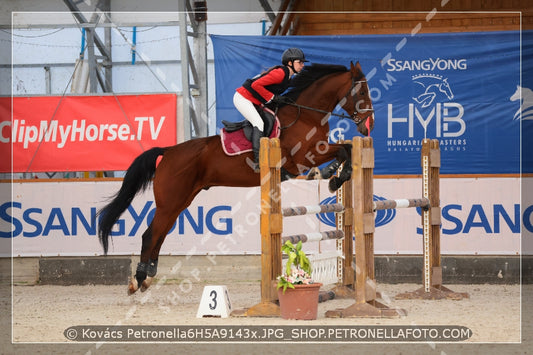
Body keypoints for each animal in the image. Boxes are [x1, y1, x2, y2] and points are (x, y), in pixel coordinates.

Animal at [98, 61, 374, 294]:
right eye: (361, 92)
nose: (366, 125)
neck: (306, 115)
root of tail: (168, 152)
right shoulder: (304, 157)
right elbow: (342, 150)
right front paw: (332, 177)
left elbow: (346, 150)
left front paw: (332, 177)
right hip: (171, 200)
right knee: (150, 234)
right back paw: (138, 280)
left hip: (179, 201)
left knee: (160, 233)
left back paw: (149, 276)